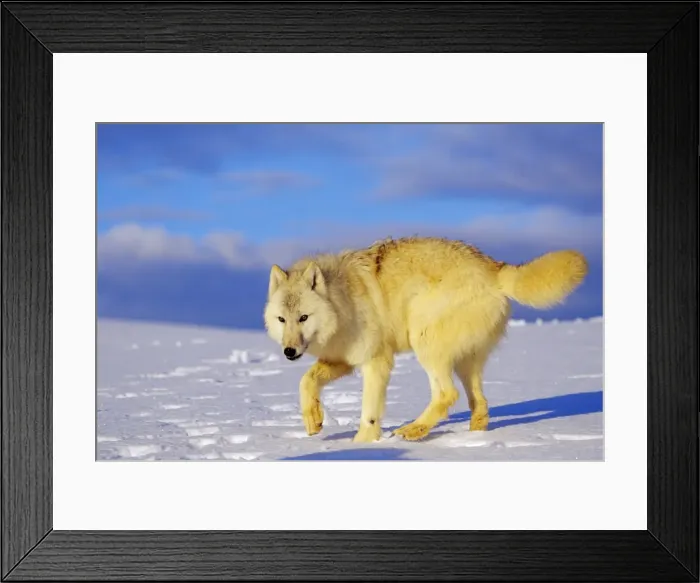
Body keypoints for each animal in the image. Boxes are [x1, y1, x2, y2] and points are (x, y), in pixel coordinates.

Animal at [263, 236, 588, 443]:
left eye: (303, 317)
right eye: (282, 320)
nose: (289, 351)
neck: (343, 301)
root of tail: (495, 266)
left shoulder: (376, 361)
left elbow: (369, 412)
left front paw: (361, 446)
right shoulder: (342, 359)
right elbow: (306, 381)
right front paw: (313, 420)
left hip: (424, 342)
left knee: (447, 394)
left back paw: (413, 430)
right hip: (466, 361)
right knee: (478, 401)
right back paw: (473, 437)